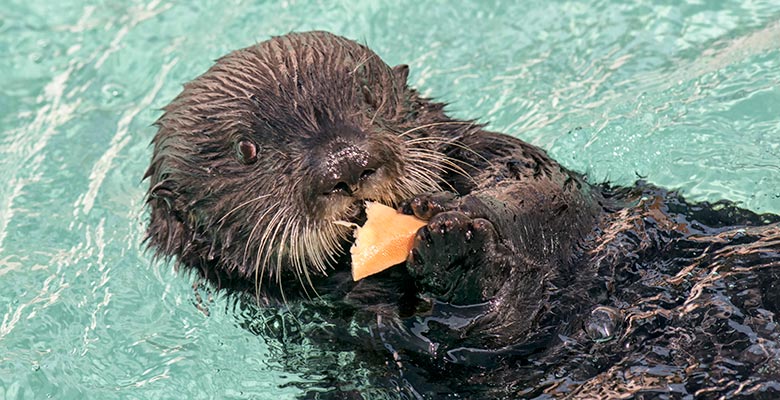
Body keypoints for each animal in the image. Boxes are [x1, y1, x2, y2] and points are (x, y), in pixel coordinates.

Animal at [145, 31, 780, 398]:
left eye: (368, 100)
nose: (348, 162)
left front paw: (458, 232)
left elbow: (547, 196)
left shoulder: (512, 160)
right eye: (246, 150)